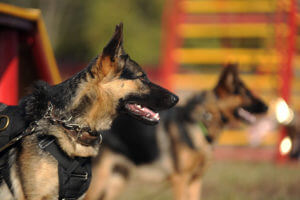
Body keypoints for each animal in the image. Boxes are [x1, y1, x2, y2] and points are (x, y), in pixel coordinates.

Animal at [85, 64, 268, 200]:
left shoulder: (195, 181)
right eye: (247, 93)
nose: (267, 107)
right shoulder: (180, 180)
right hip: (99, 182)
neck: (202, 121)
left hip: (116, 181)